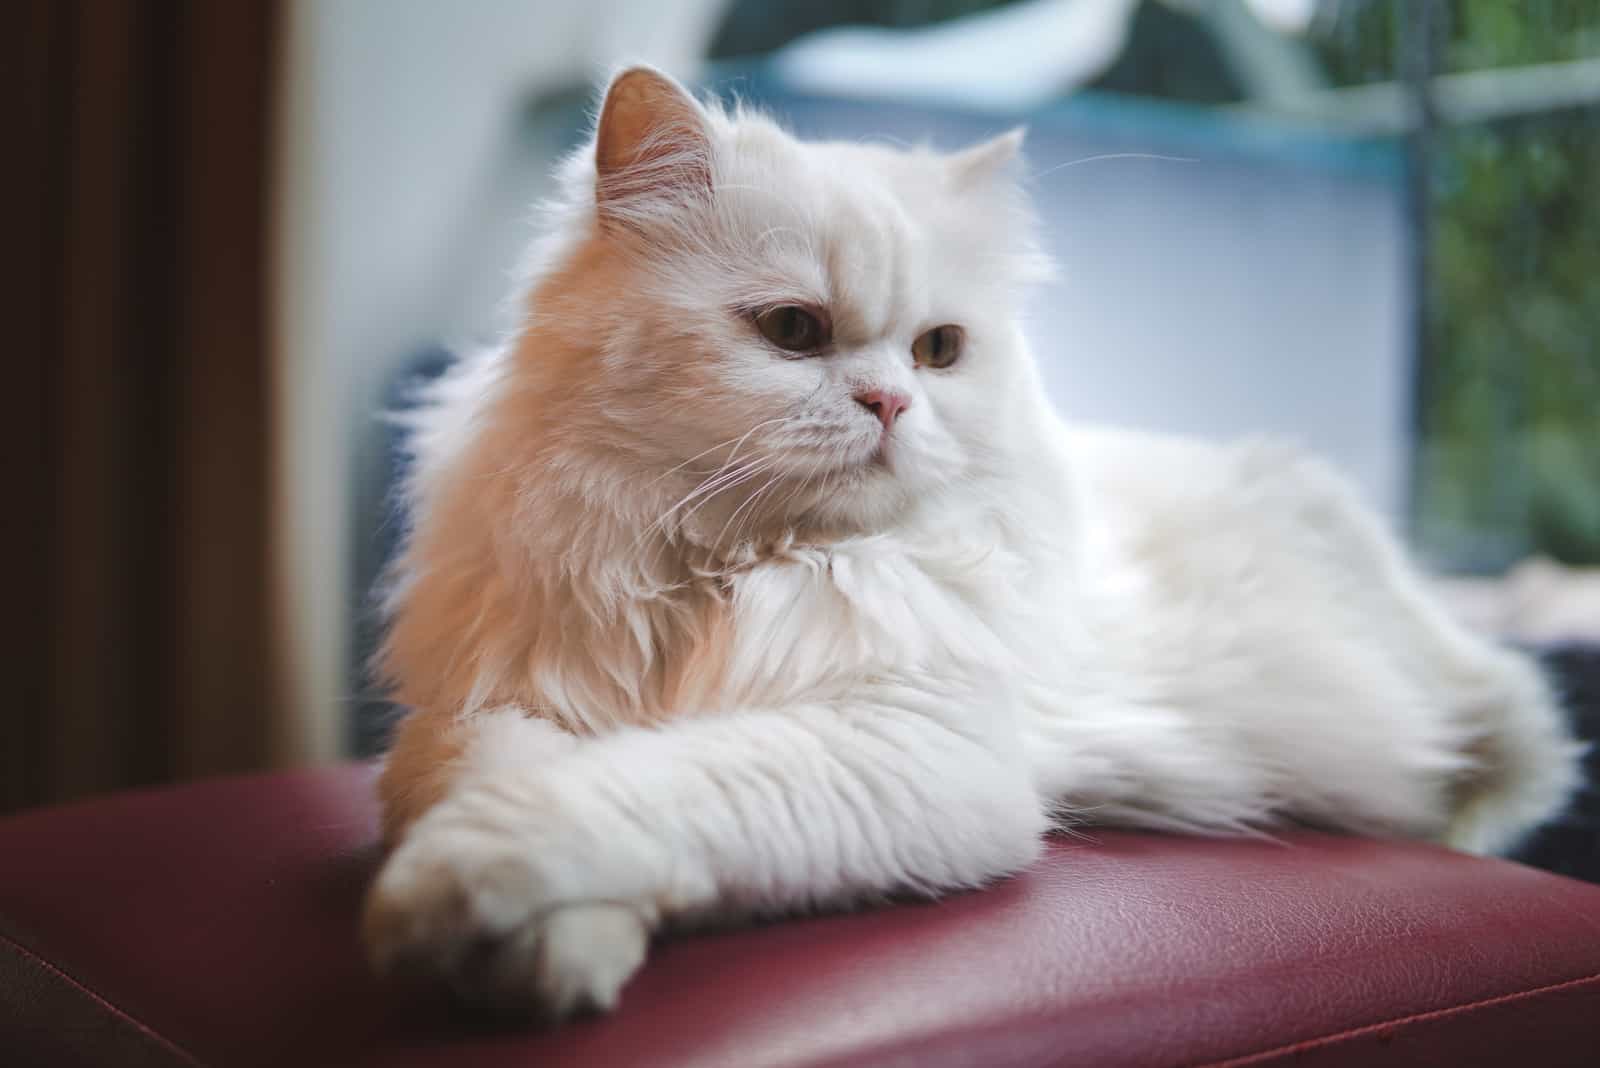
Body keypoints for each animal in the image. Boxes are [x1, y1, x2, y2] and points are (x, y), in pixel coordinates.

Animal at [356, 64, 1580, 1016]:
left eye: (939, 351)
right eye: (792, 330)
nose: (893, 405)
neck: (724, 570)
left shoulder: (918, 751)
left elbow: (631, 792)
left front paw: (452, 894)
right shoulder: (488, 710)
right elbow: (512, 786)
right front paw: (541, 956)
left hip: (1486, 724)